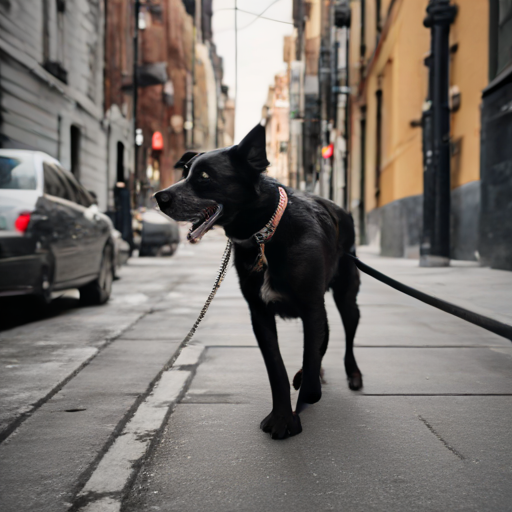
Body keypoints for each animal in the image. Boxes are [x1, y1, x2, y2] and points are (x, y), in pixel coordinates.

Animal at [154, 125, 362, 440]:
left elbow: (310, 364)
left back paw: (352, 374)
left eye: (204, 177)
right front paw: (282, 418)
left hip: (346, 297)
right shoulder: (260, 314)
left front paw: (302, 398)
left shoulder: (311, 306)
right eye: (185, 172)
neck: (264, 234)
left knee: (347, 335)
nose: (158, 197)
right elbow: (277, 369)